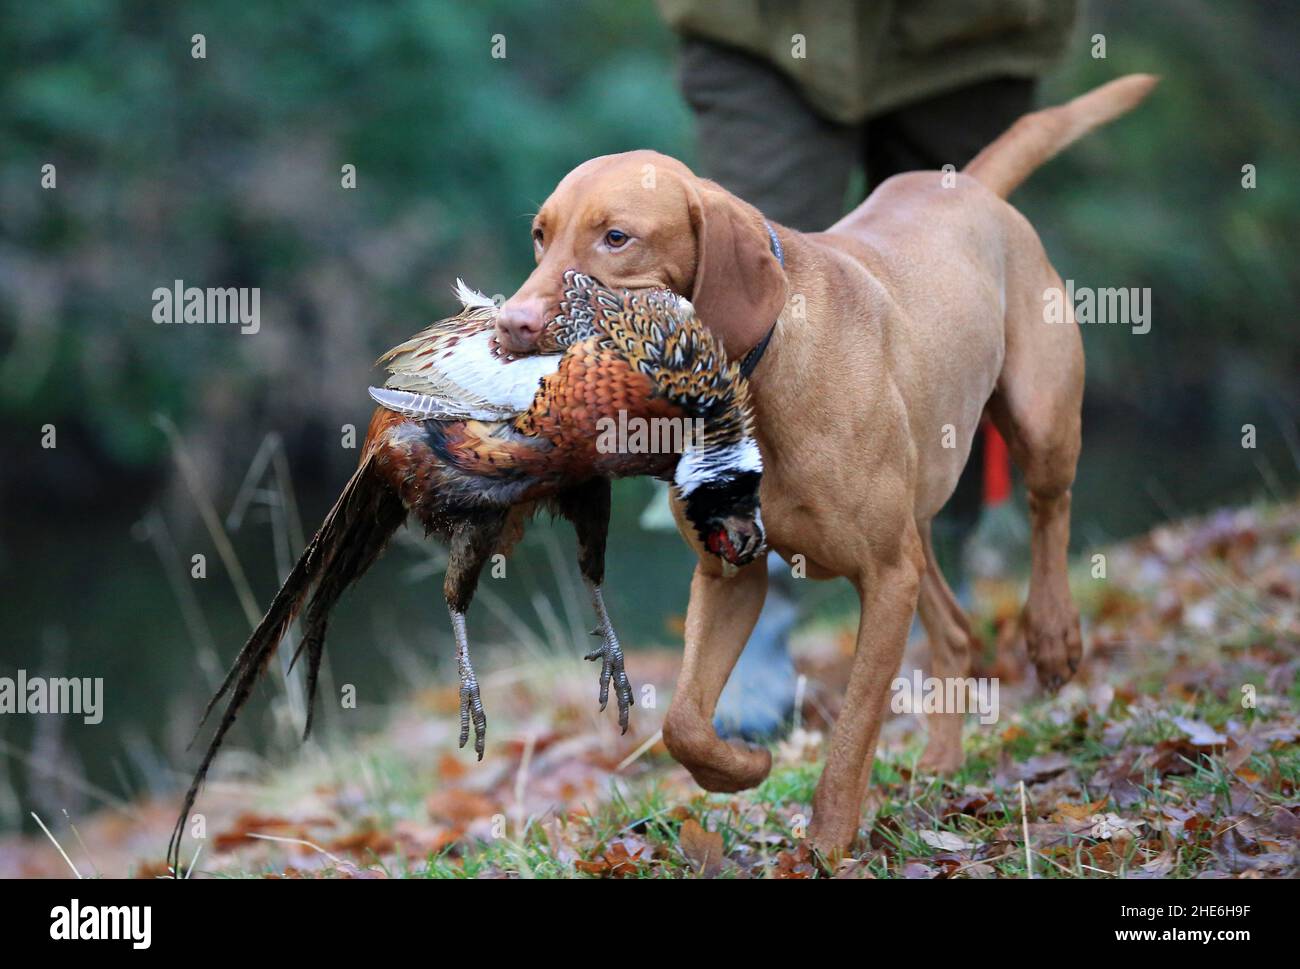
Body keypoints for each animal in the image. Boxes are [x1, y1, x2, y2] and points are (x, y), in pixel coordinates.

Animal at [496, 75, 1159, 853]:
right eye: (540, 235)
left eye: (617, 237)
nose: (510, 324)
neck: (755, 385)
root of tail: (969, 184)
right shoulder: (732, 573)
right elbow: (685, 723)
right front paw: (744, 769)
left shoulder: (886, 577)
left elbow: (852, 732)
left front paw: (828, 840)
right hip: (916, 522)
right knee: (956, 630)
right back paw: (941, 762)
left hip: (1039, 419)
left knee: (1049, 510)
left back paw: (1052, 634)